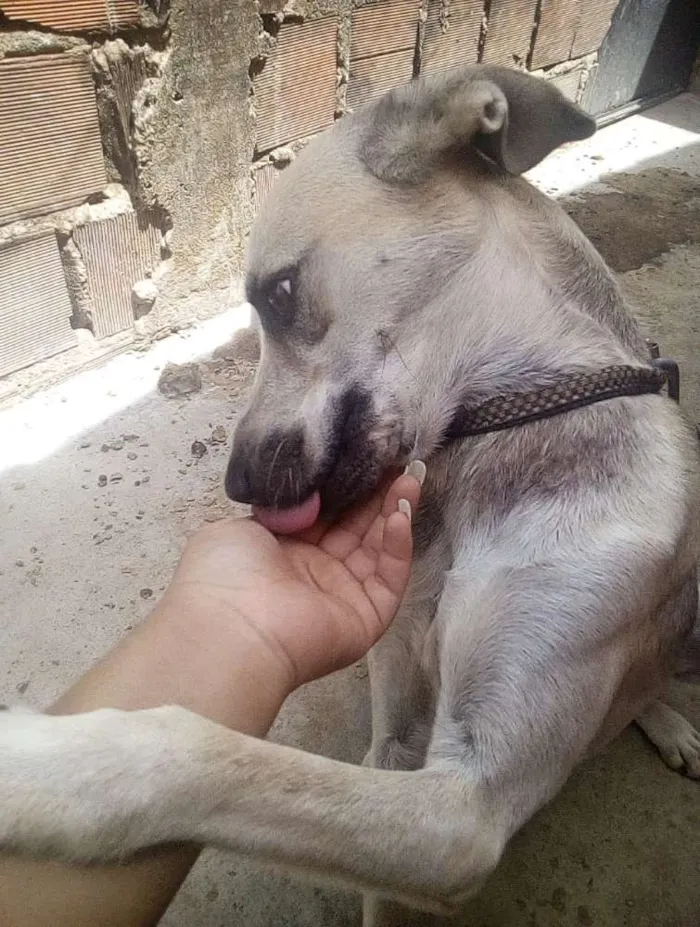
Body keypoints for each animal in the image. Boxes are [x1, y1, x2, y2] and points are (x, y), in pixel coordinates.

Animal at [1, 67, 700, 927]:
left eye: (279, 292)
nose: (238, 484)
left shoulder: (465, 811)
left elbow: (204, 752)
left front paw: (49, 766)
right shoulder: (395, 718)